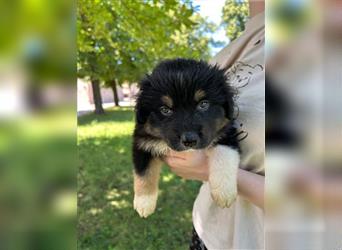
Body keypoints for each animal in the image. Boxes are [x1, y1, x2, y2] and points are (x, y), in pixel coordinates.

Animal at [132, 58, 239, 217]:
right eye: (165, 110)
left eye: (203, 104)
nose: (189, 140)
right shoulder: (142, 141)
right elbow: (144, 172)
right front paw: (144, 202)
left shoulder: (227, 132)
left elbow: (224, 154)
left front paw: (224, 192)